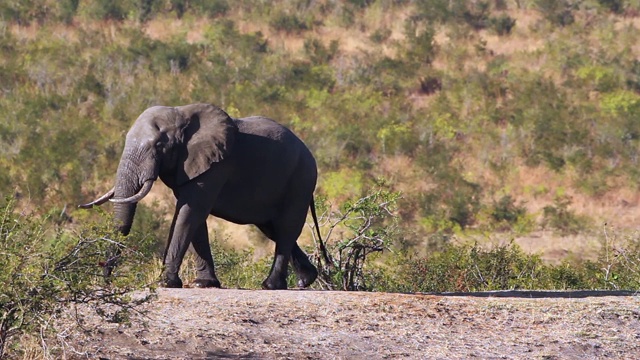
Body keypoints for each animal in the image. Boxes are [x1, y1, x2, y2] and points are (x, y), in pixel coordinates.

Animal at [80, 102, 320, 290]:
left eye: (159, 145)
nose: (106, 281)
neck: (180, 114)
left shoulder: (216, 166)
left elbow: (190, 212)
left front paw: (166, 283)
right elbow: (194, 218)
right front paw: (202, 284)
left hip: (301, 180)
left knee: (286, 228)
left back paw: (271, 285)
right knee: (273, 229)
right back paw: (306, 280)